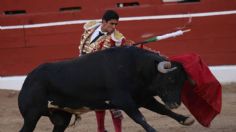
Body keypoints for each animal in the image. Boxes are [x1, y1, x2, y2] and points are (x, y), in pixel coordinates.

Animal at [17, 46, 194, 131]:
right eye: (170, 79)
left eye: (182, 82)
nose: (176, 103)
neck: (136, 67)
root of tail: (29, 79)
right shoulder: (123, 99)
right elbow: (140, 118)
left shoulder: (142, 97)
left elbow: (163, 110)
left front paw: (185, 119)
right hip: (31, 115)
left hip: (61, 118)